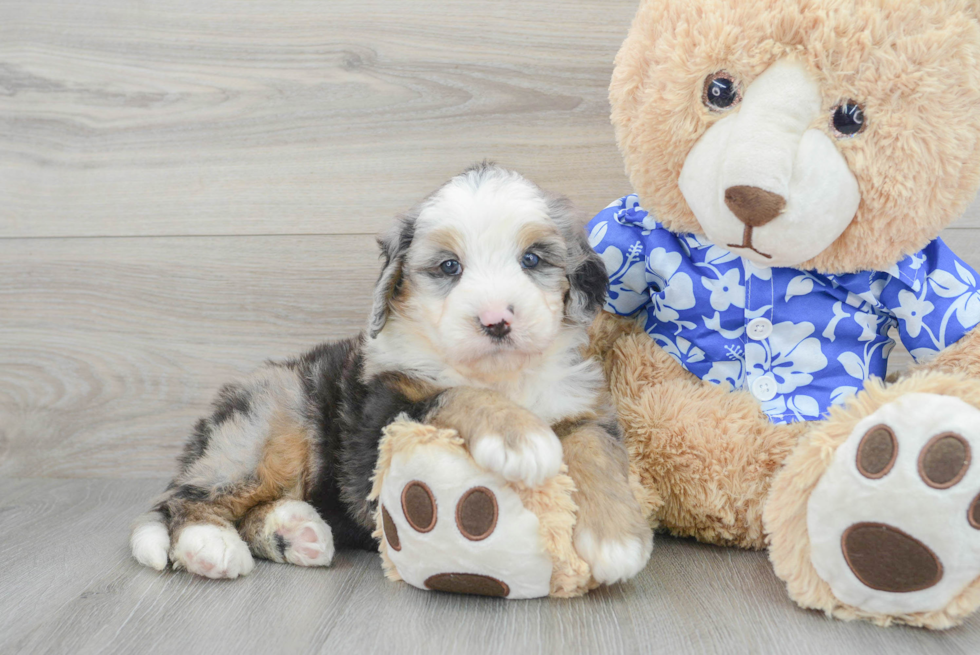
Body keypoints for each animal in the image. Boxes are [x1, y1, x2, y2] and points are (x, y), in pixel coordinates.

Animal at [128, 164, 652, 584]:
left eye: (532, 260)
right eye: (449, 266)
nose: (496, 321)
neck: (501, 376)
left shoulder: (581, 406)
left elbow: (596, 450)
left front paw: (615, 540)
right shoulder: (385, 415)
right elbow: (456, 395)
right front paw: (520, 439)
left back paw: (297, 532)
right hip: (268, 427)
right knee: (183, 499)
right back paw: (209, 546)